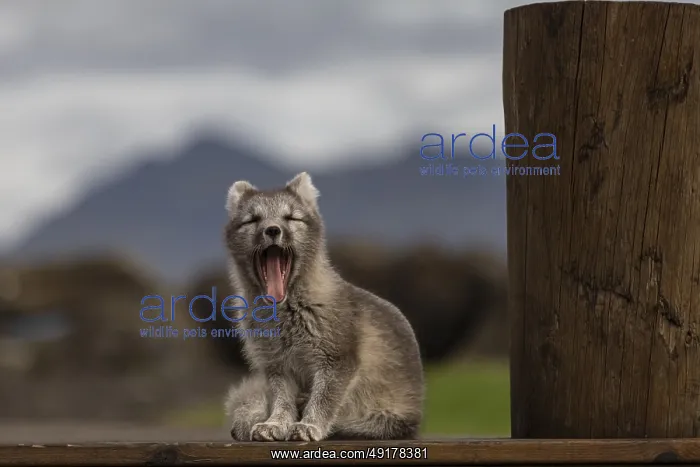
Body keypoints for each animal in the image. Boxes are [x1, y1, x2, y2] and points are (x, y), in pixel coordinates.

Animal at [222, 172, 424, 442]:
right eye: (253, 220)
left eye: (291, 217)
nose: (272, 229)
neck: (286, 319)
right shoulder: (276, 364)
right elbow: (281, 400)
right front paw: (275, 424)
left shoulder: (338, 359)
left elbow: (323, 399)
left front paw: (308, 425)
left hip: (382, 421)